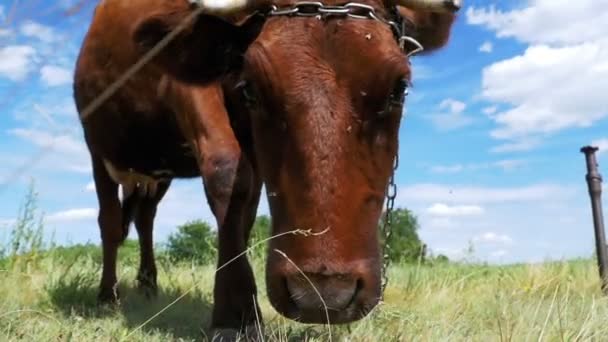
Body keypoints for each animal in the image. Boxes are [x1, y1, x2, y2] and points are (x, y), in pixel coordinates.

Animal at [73, 0, 458, 338]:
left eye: (399, 89)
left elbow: (242, 211)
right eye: (251, 88)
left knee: (145, 218)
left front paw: (238, 307)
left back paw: (148, 285)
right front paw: (234, 316)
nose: (323, 295)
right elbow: (226, 172)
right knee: (110, 222)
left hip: (156, 174)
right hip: (99, 149)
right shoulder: (190, 89)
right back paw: (108, 296)